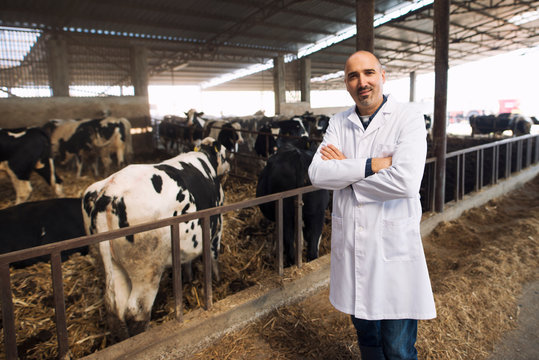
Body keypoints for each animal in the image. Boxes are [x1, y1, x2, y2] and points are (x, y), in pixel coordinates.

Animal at [81, 136, 230, 338]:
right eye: (226, 153)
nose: (229, 166)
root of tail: (108, 194)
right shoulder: (217, 223)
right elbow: (214, 257)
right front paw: (217, 279)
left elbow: (187, 261)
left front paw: (188, 278)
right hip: (147, 269)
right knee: (136, 311)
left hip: (112, 263)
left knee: (114, 306)